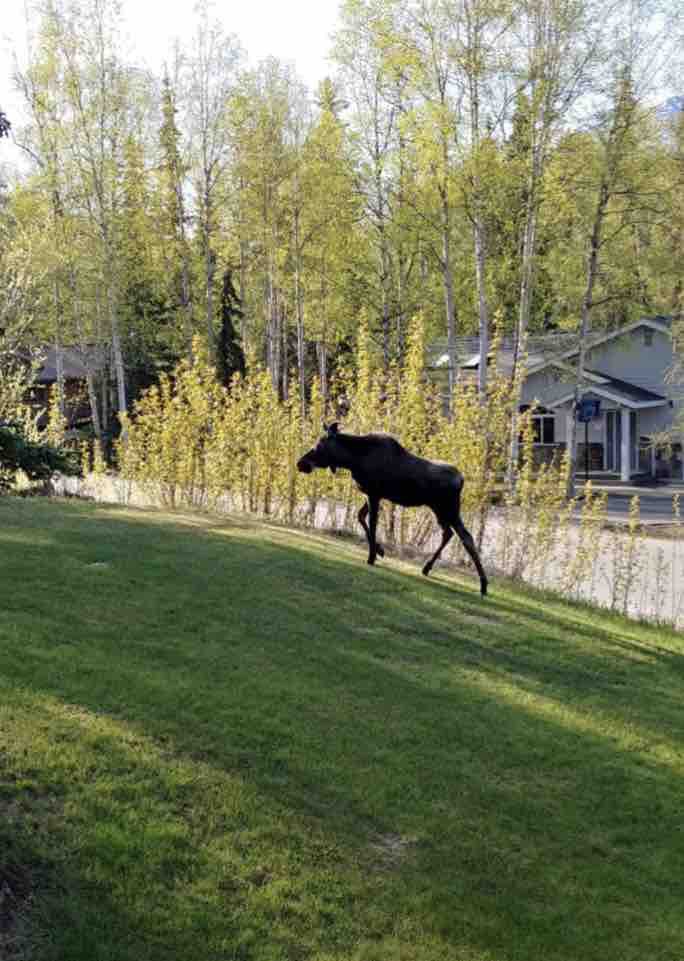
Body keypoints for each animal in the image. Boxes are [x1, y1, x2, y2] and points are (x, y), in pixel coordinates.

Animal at [296, 426, 486, 596]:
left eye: (319, 445)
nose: (300, 463)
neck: (352, 460)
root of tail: (461, 479)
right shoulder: (372, 494)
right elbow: (360, 517)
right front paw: (379, 550)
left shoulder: (374, 494)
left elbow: (372, 523)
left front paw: (372, 556)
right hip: (438, 509)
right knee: (448, 533)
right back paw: (427, 567)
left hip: (449, 509)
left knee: (466, 537)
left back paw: (483, 584)